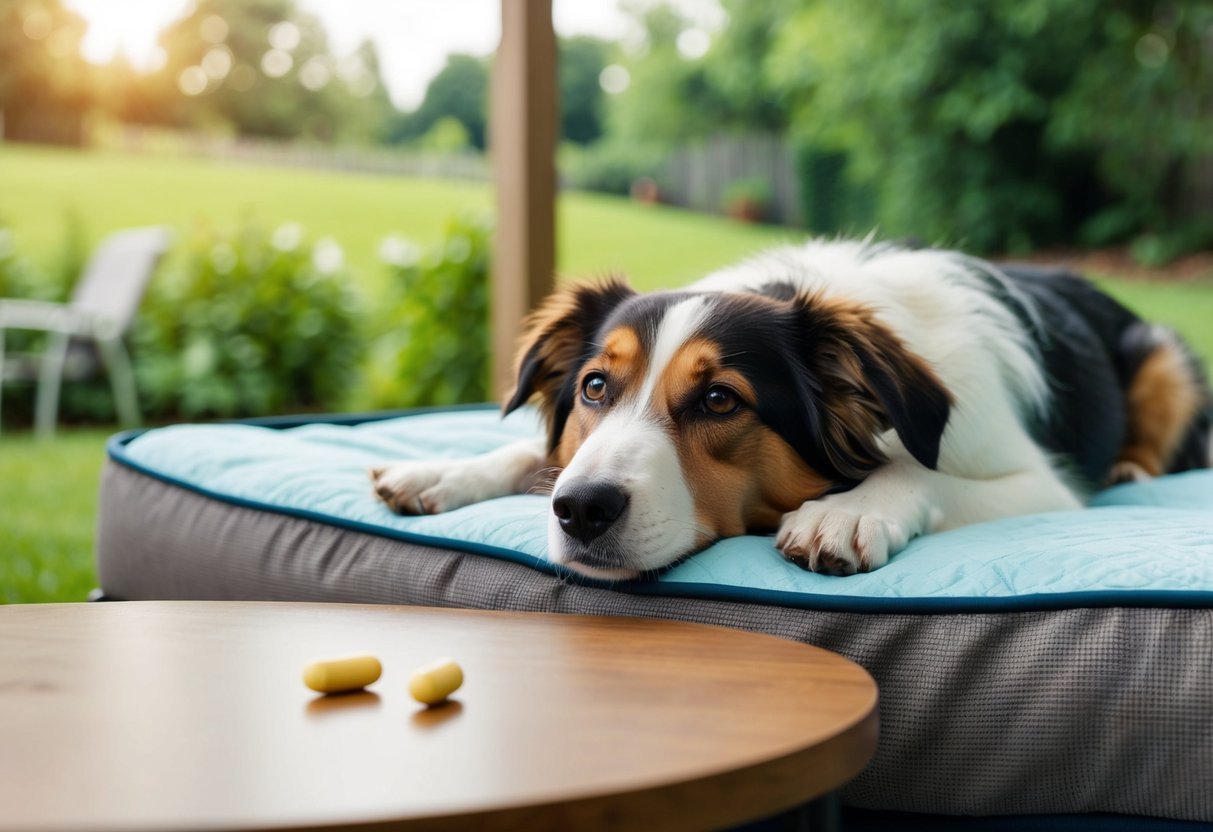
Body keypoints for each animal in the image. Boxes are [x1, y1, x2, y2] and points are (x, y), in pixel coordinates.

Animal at [371, 240, 1213, 579]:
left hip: (1164, 353)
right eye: (594, 388)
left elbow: (922, 472)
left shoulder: (1043, 485)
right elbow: (539, 452)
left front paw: (845, 512)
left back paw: (1134, 471)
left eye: (719, 399)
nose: (580, 511)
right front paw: (442, 472)